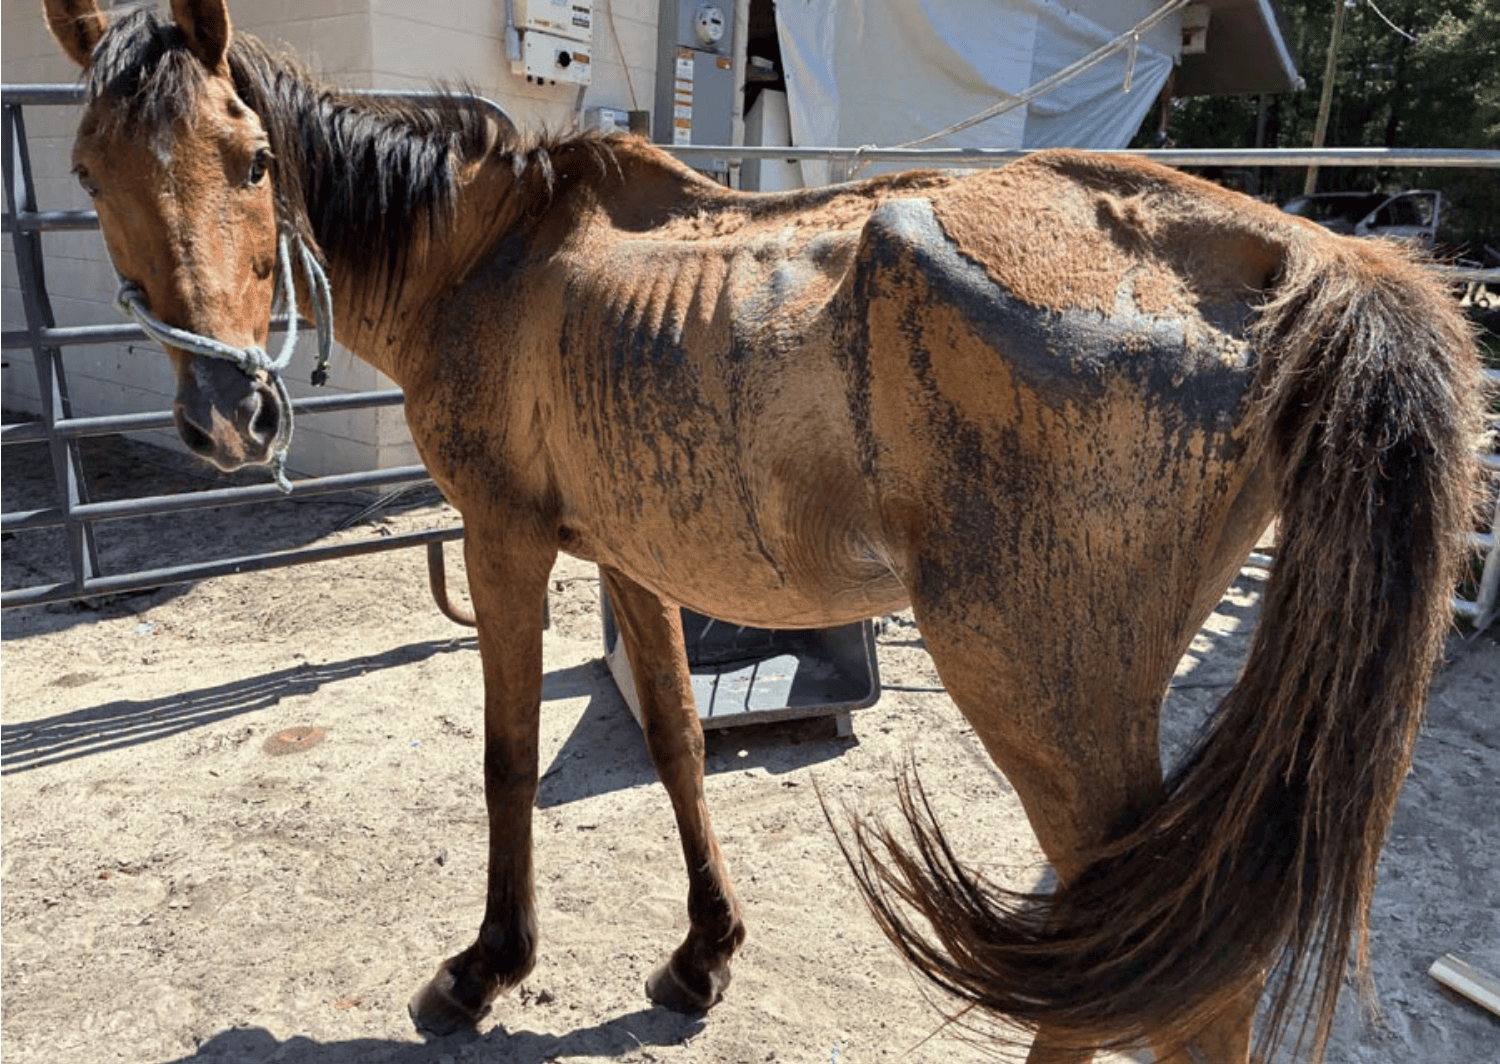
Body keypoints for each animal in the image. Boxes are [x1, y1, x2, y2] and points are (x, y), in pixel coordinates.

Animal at [42, 2, 1486, 1061]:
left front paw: (486, 970)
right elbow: (680, 744)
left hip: (1042, 696)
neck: (487, 254)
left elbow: (506, 762)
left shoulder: (507, 541)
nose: (230, 413)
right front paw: (702, 953)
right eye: (87, 173)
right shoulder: (629, 557)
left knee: (1172, 982)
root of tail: (1290, 256)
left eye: (254, 162)